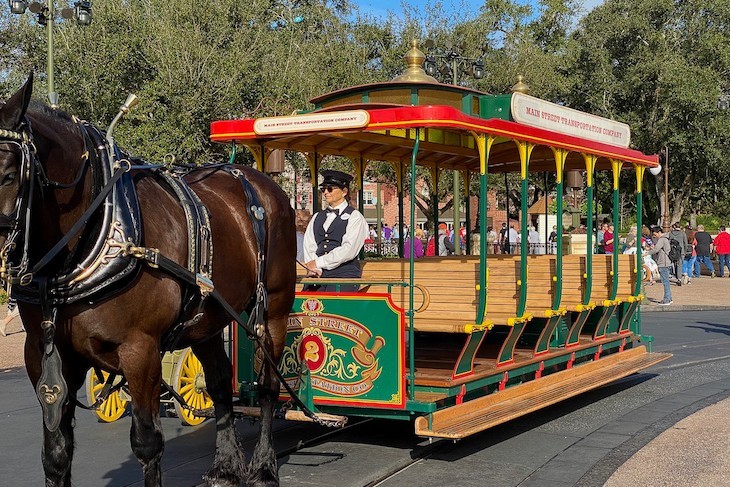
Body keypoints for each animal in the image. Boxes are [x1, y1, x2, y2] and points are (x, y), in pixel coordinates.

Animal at [1, 76, 296, 487]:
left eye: (9, 175)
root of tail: (260, 180)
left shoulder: (139, 350)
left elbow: (147, 442)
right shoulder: (43, 354)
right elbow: (56, 453)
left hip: (274, 312)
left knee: (268, 384)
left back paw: (265, 466)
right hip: (207, 316)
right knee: (220, 382)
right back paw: (225, 466)